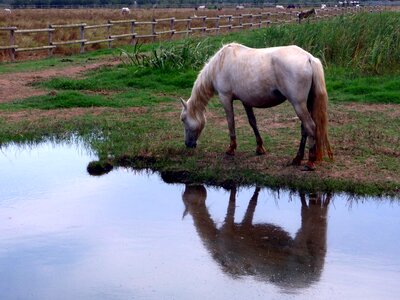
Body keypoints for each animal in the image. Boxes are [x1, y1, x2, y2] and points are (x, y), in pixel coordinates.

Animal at [180, 42, 332, 170]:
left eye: (183, 119)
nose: (188, 144)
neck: (220, 63)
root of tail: (309, 58)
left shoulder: (225, 98)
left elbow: (231, 122)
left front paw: (231, 149)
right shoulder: (246, 101)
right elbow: (252, 122)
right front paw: (260, 148)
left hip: (298, 105)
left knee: (310, 127)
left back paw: (310, 162)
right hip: (305, 105)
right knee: (304, 130)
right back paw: (297, 159)